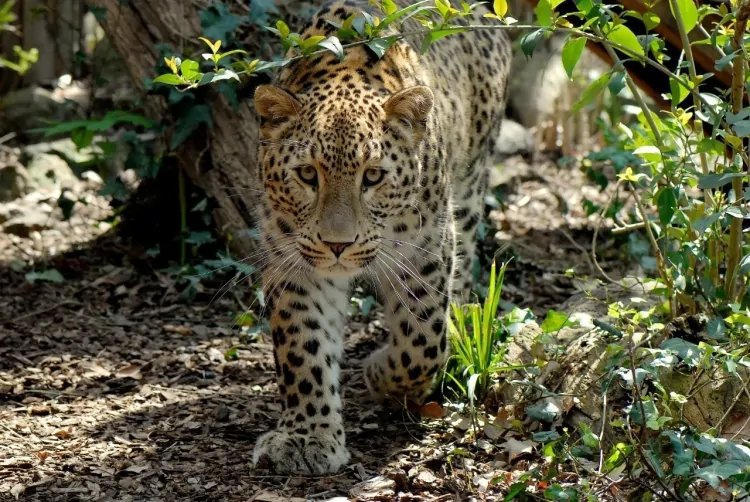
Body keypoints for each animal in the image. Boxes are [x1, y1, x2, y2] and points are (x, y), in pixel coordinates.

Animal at [250, 0, 516, 474]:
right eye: (307, 175)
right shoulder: (294, 262)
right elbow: (303, 348)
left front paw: (381, 375)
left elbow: (422, 340)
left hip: (471, 182)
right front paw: (308, 437)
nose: (338, 245)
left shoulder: (425, 251)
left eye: (372, 176)